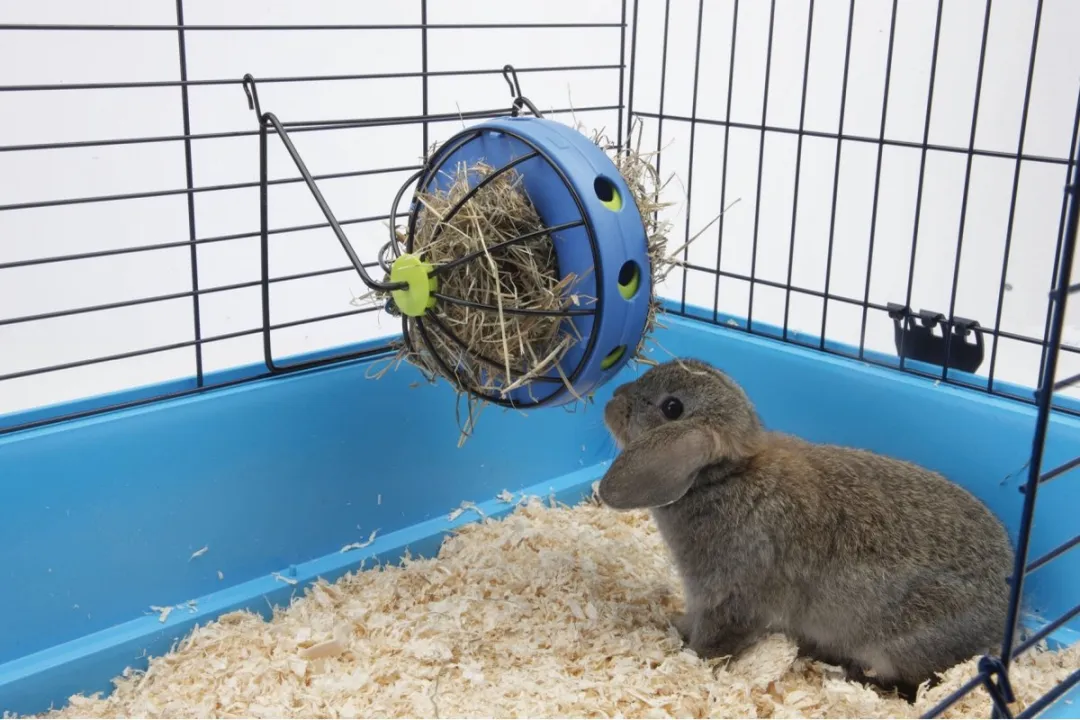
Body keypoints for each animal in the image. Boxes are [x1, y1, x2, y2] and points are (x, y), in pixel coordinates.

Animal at [596, 357, 1015, 702]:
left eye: (672, 407)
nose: (614, 398)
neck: (723, 477)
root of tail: (1001, 619)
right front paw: (675, 627)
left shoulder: (731, 598)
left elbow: (715, 639)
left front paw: (690, 656)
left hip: (899, 646)